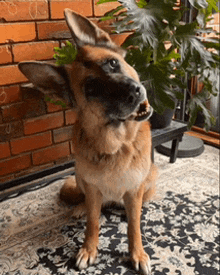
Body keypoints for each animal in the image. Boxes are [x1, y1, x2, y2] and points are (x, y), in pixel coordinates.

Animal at [18, 9, 156, 275]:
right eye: (91, 89)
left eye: (113, 63)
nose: (134, 91)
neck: (116, 145)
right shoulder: (92, 189)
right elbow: (93, 222)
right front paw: (89, 249)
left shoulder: (134, 189)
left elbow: (134, 227)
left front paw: (137, 253)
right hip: (78, 180)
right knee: (90, 203)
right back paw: (82, 208)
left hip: (150, 181)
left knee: (135, 208)